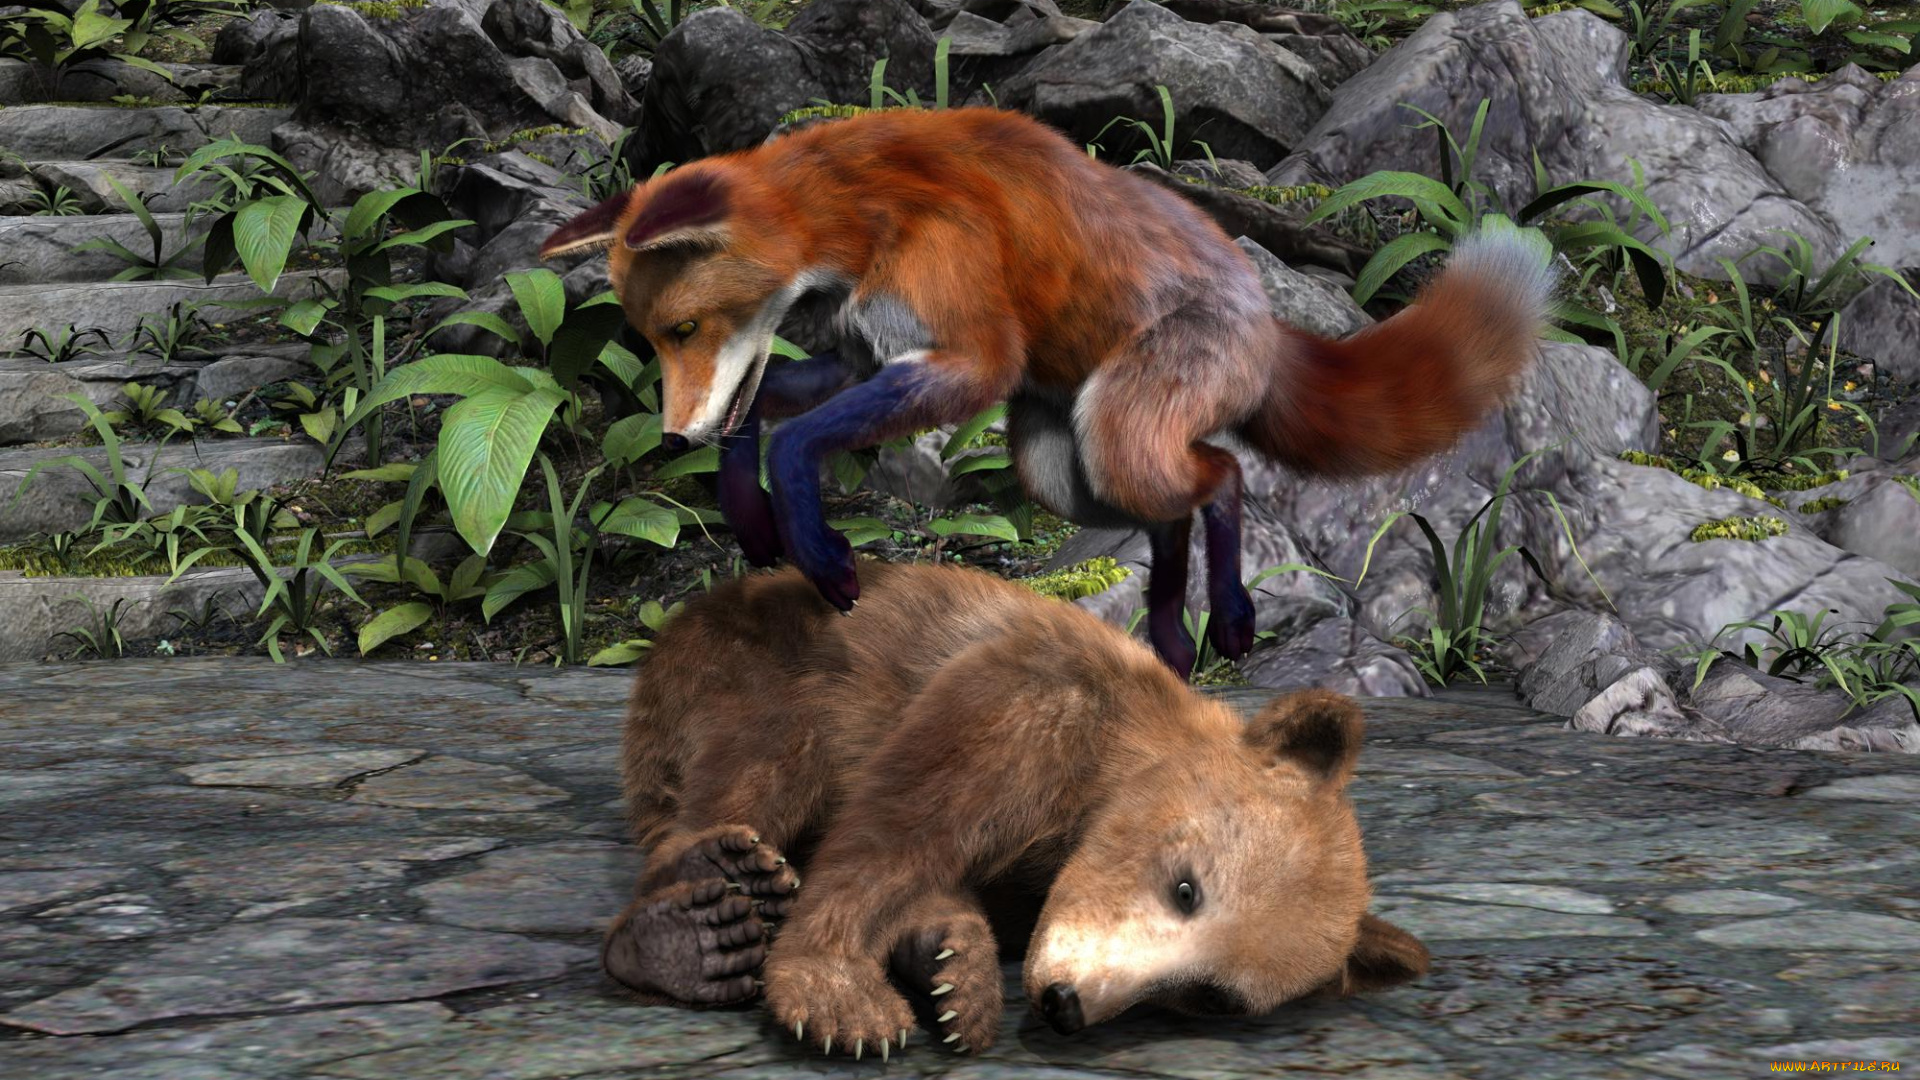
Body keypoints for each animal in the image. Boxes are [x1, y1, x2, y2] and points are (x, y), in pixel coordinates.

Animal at [540, 106, 1556, 677]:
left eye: (681, 332)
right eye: (647, 341)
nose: (670, 440)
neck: (862, 215)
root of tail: (1267, 321)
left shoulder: (970, 358)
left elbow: (792, 438)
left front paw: (821, 556)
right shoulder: (868, 356)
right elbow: (763, 417)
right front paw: (750, 516)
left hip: (1112, 432)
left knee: (1222, 476)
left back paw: (1227, 618)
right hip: (1058, 469)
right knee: (1174, 515)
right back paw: (1170, 637)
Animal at [604, 558, 1429, 1059]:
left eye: (1210, 995)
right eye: (1187, 887)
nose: (1068, 1003)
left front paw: (951, 966)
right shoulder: (1024, 702)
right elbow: (897, 827)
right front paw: (841, 994)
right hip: (744, 667)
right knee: (763, 757)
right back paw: (695, 923)